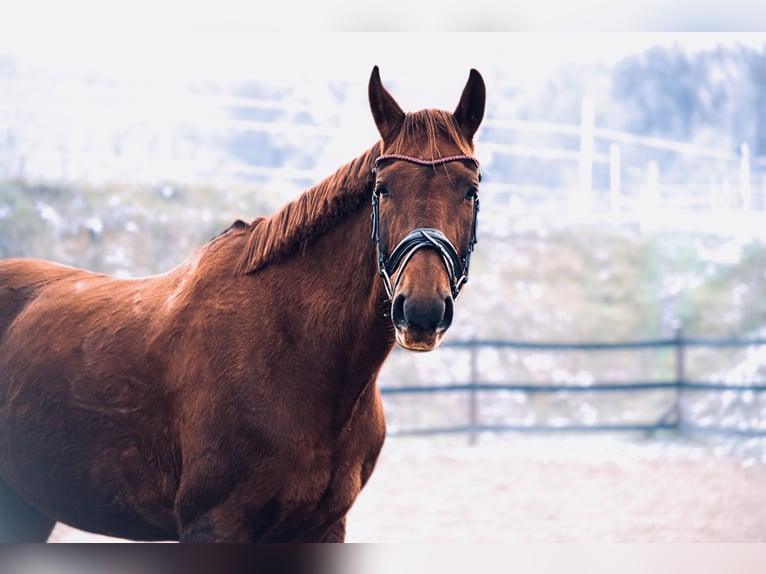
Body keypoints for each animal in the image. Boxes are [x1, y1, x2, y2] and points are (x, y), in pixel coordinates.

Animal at [0, 65, 485, 542]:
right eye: (382, 189)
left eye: (471, 191)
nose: (421, 310)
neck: (298, 351)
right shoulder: (215, 525)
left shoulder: (324, 528)